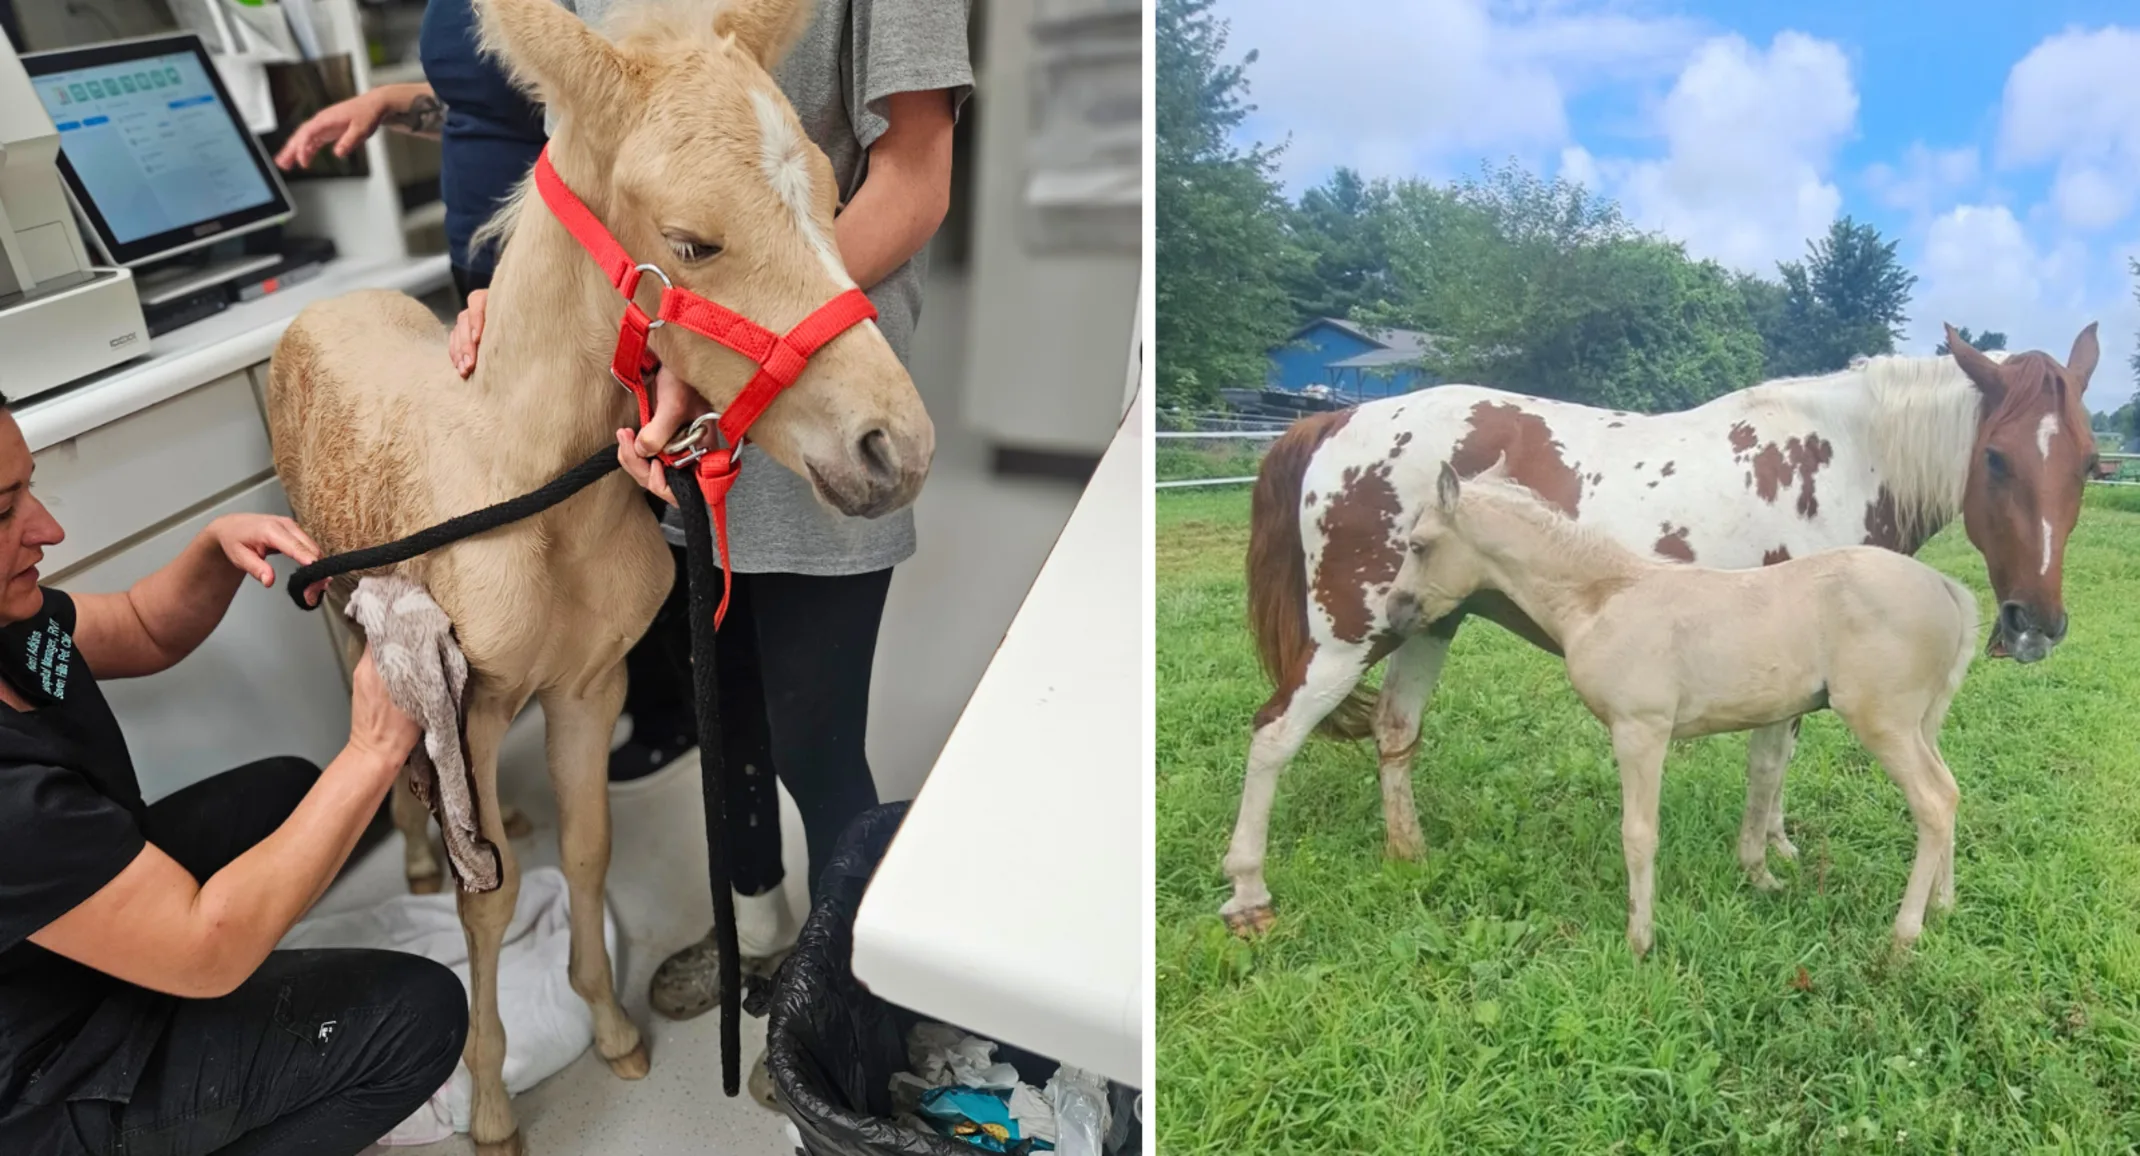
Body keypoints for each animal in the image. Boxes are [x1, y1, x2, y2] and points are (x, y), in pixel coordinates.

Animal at [263, 0, 933, 1149]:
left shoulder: (591, 686)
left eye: (835, 196)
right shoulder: (473, 707)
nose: (898, 448)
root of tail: (323, 308)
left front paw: (611, 1026)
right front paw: (491, 1103)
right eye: (693, 243)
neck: (530, 485)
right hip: (341, 610)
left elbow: (585, 850)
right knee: (390, 750)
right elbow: (486, 900)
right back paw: (418, 851)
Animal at [1386, 461, 1977, 955]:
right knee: (1950, 791)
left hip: (1884, 723)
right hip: (1922, 724)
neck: (1602, 598)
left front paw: (1639, 939)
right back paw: (1945, 905)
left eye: (1418, 545)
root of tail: (1946, 587)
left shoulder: (1640, 731)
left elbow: (1638, 833)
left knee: (1931, 802)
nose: (1394, 611)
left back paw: (1904, 934)